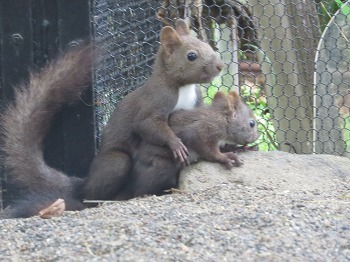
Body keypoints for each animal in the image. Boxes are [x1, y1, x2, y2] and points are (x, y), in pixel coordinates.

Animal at [83, 19, 223, 201]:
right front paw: (176, 145)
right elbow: (147, 124)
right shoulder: (156, 101)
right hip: (116, 163)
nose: (220, 66)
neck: (183, 87)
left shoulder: (196, 103)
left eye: (207, 45)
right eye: (191, 56)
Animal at [119, 90, 258, 199]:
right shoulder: (200, 132)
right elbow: (209, 151)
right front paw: (225, 157)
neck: (221, 120)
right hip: (160, 165)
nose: (257, 136)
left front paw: (243, 148)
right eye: (252, 123)